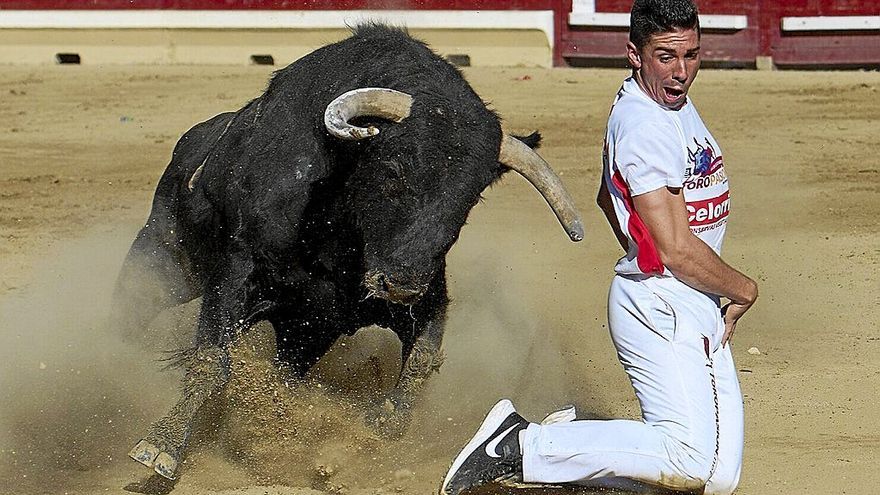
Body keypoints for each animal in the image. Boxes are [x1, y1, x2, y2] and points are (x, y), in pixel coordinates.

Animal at [117, 24, 584, 484]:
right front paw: (161, 446)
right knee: (129, 310)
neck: (337, 227)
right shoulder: (235, 274)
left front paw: (376, 426)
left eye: (469, 198)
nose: (402, 284)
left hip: (303, 333)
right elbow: (211, 361)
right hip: (164, 261)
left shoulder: (424, 294)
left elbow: (421, 361)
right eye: (393, 171)